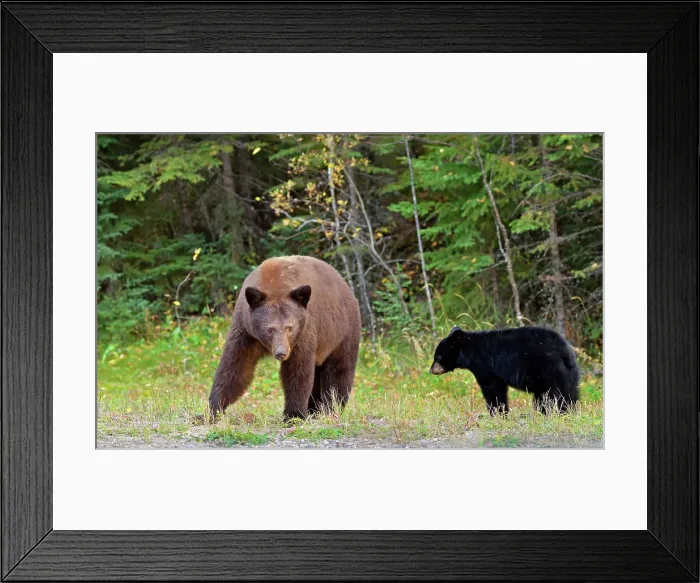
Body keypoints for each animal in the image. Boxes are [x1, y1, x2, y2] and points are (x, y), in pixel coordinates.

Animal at [207, 255, 362, 423]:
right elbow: (235, 367)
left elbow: (297, 371)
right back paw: (314, 409)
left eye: (290, 327)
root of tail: (346, 287)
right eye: (269, 328)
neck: (273, 281)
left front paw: (294, 415)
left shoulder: (303, 333)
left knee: (338, 371)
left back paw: (331, 408)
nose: (281, 353)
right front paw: (213, 410)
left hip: (341, 333)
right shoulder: (245, 331)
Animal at [429, 325, 579, 415]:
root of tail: (564, 350)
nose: (431, 370)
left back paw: (559, 412)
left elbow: (493, 390)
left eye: (438, 357)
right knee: (567, 392)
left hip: (548, 369)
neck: (472, 352)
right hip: (568, 372)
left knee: (556, 394)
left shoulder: (487, 367)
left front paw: (497, 413)